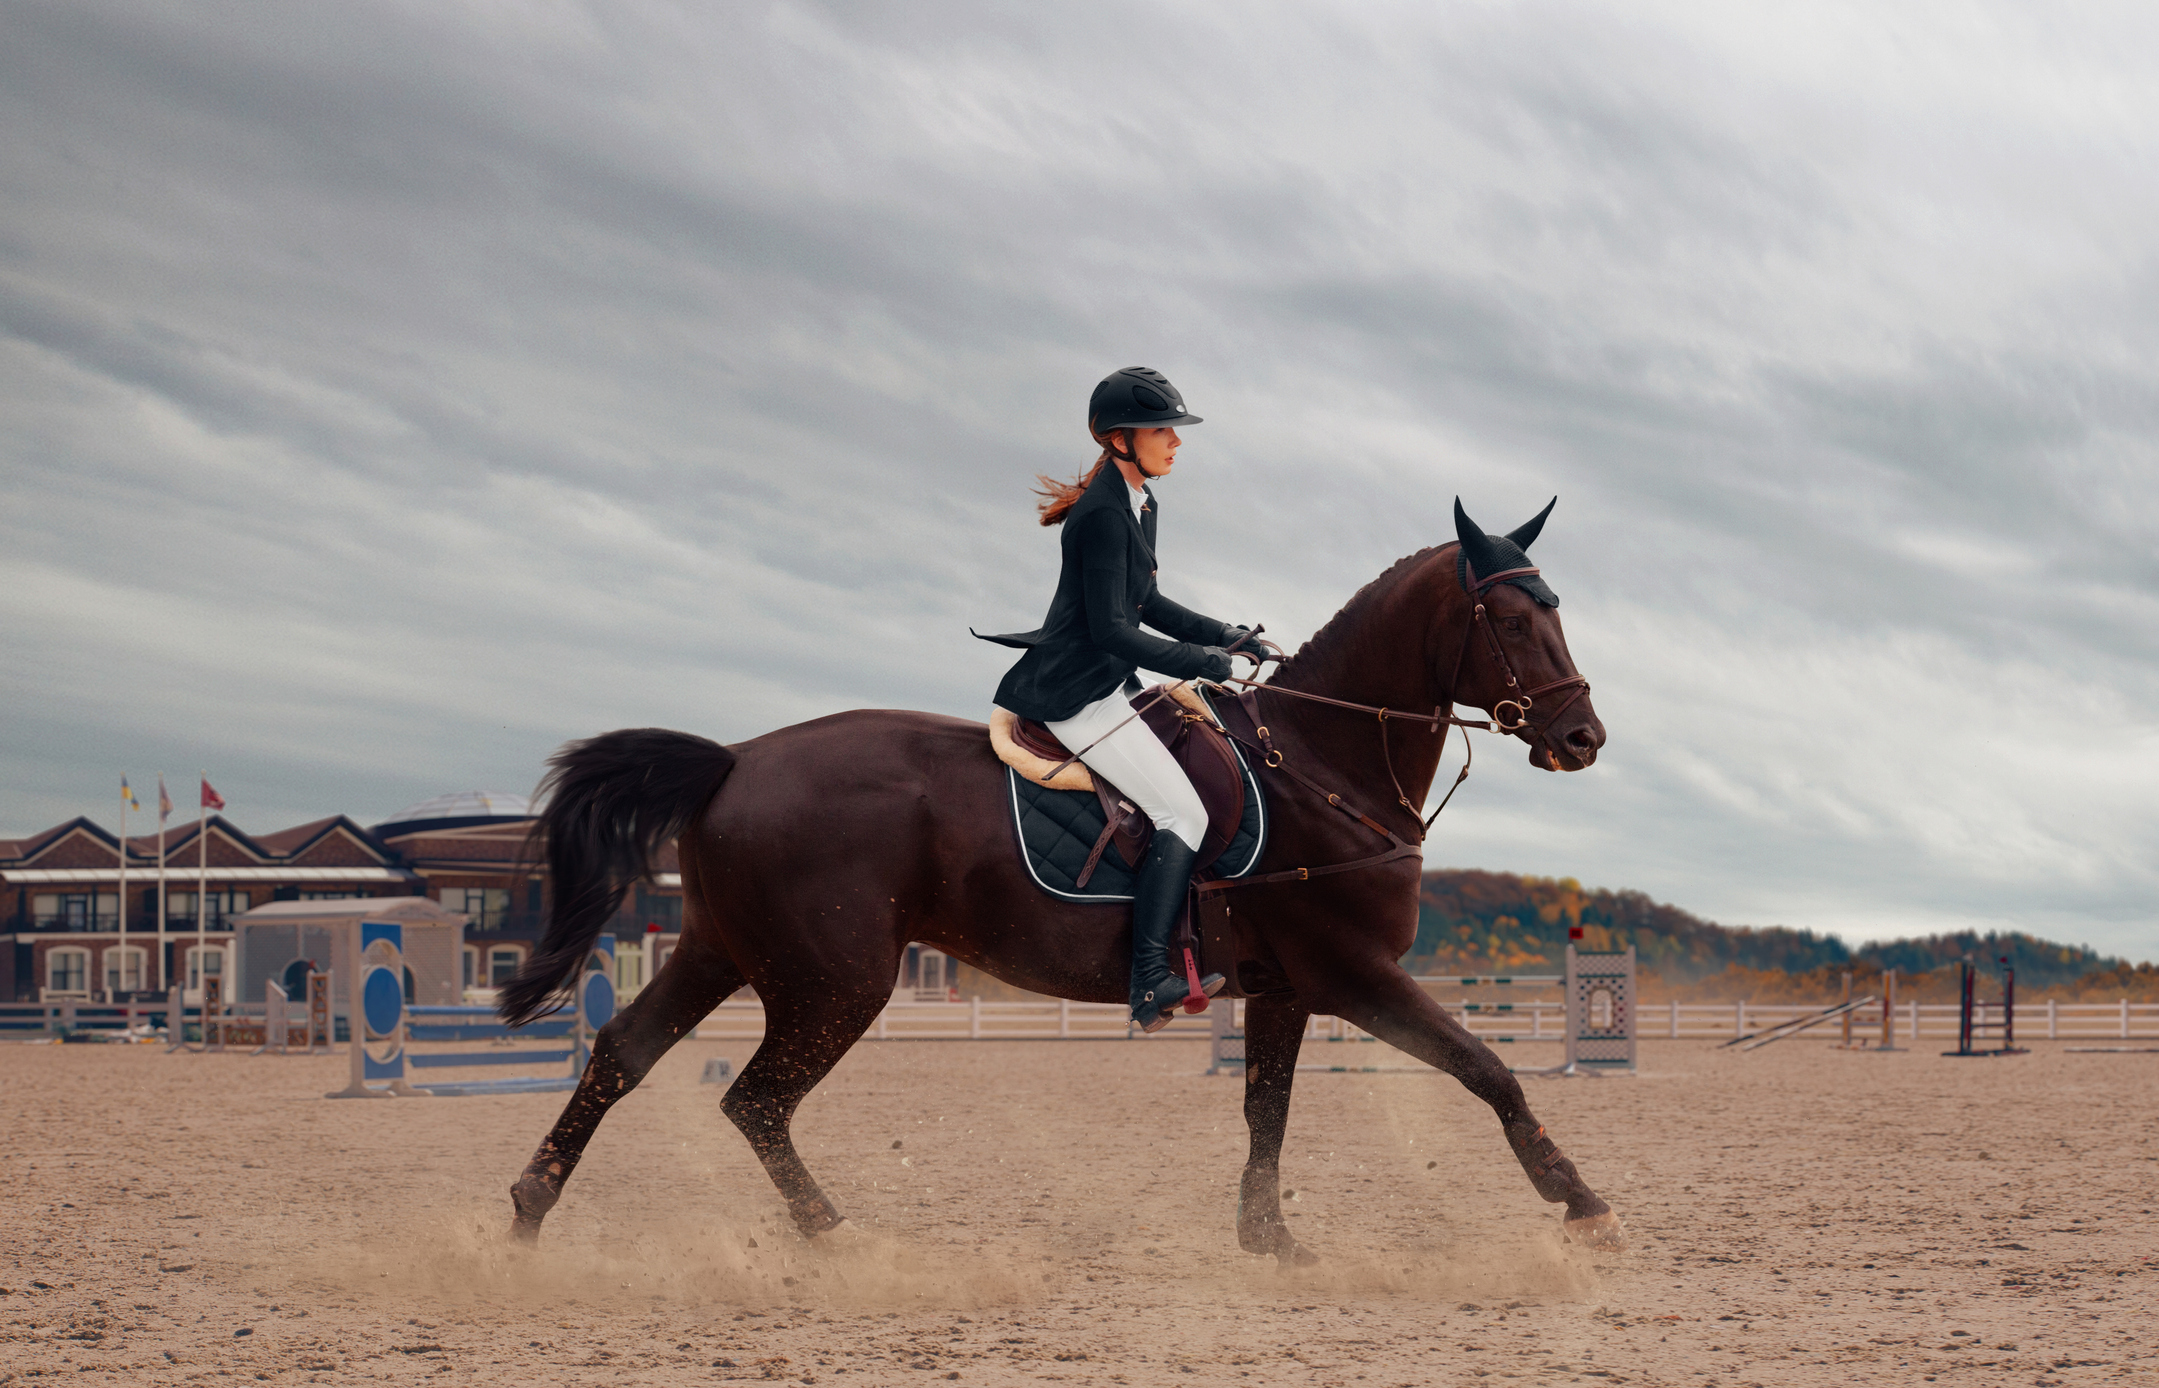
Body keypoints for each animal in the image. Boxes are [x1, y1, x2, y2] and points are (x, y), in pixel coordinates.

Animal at [500, 505, 1623, 1269]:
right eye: (1509, 620)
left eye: (1556, 610)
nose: (1582, 738)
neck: (1322, 760)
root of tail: (733, 759)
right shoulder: (1350, 972)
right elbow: (1487, 1069)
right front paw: (1580, 1202)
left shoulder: (1285, 989)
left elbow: (1266, 1110)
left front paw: (1267, 1239)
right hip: (832, 982)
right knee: (754, 1100)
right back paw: (836, 1235)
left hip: (721, 950)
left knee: (623, 1053)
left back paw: (525, 1213)